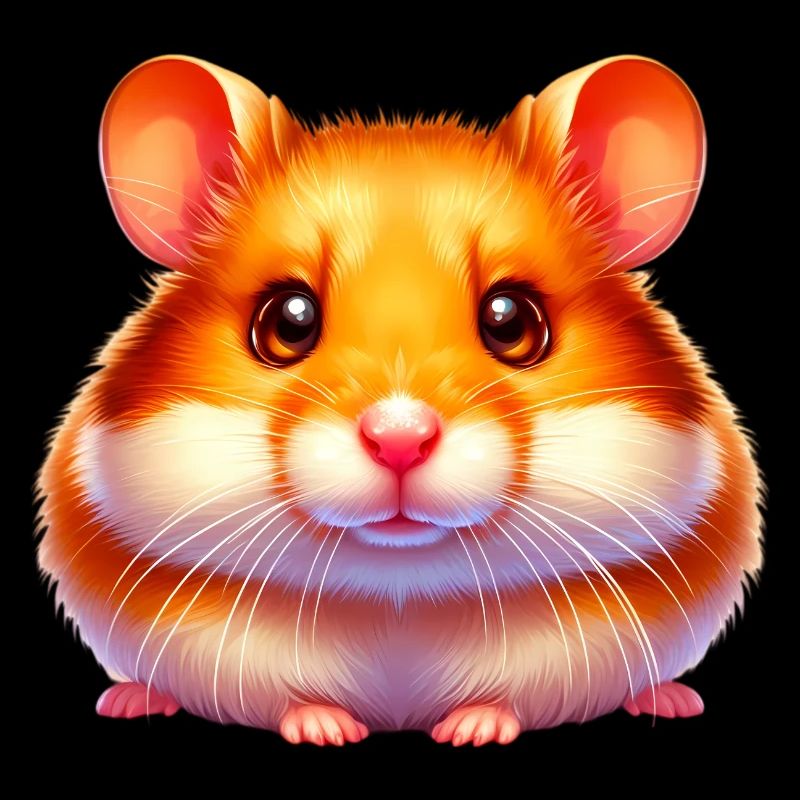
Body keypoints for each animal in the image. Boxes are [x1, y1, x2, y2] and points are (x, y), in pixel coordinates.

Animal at [36, 54, 762, 746]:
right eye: (288, 320)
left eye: (512, 321)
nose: (399, 438)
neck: (399, 595)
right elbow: (282, 700)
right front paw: (327, 732)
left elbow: (515, 700)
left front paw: (471, 732)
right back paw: (127, 700)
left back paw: (672, 699)